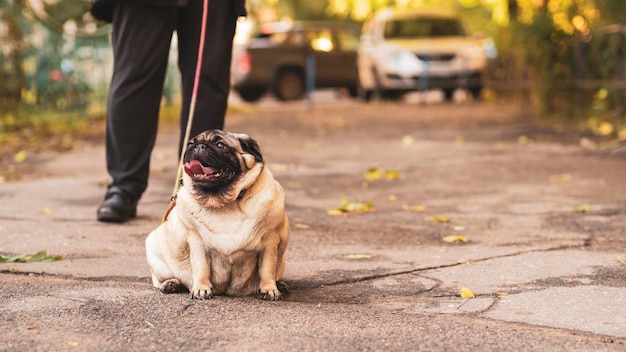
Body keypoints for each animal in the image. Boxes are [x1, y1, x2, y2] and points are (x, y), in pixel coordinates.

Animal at [147, 129, 290, 300]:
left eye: (220, 145)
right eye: (190, 143)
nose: (199, 146)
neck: (223, 203)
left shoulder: (269, 242)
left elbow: (267, 269)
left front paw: (269, 289)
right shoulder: (197, 243)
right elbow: (201, 268)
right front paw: (201, 289)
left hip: (281, 263)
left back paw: (280, 284)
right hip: (155, 251)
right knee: (163, 278)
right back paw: (171, 283)